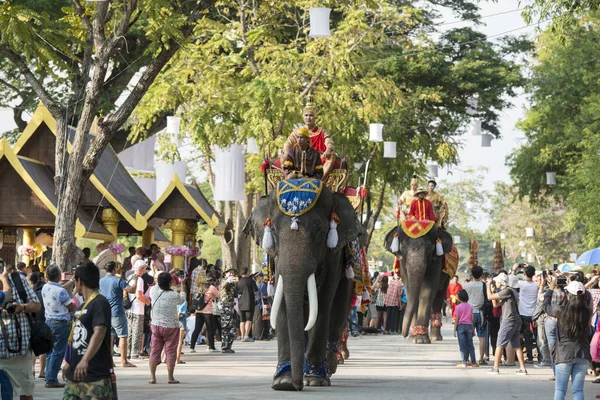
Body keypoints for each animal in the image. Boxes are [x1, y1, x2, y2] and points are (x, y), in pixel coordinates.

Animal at [241, 180, 358, 390]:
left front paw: (315, 379)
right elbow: (282, 302)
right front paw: (283, 382)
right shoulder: (277, 259)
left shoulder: (334, 255)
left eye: (319, 231)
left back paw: (329, 365)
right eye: (274, 231)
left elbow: (323, 303)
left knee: (338, 309)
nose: (297, 386)